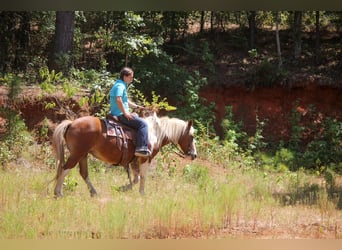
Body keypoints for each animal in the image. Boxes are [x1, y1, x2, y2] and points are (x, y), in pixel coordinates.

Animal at [51, 113, 198, 197]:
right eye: (191, 136)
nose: (194, 155)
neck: (155, 133)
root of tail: (71, 123)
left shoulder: (133, 161)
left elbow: (136, 178)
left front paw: (122, 188)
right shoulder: (145, 158)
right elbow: (143, 177)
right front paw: (142, 193)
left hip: (83, 155)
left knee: (83, 173)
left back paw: (94, 193)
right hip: (78, 154)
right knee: (65, 169)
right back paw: (58, 193)